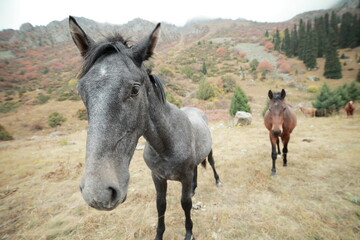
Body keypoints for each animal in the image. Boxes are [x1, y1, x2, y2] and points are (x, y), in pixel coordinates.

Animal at [69, 15, 221, 239]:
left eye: (135, 89)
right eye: (81, 90)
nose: (97, 193)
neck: (167, 144)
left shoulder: (184, 177)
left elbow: (185, 203)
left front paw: (189, 232)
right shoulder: (157, 177)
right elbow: (161, 205)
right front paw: (159, 234)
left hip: (209, 152)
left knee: (211, 163)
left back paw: (217, 181)